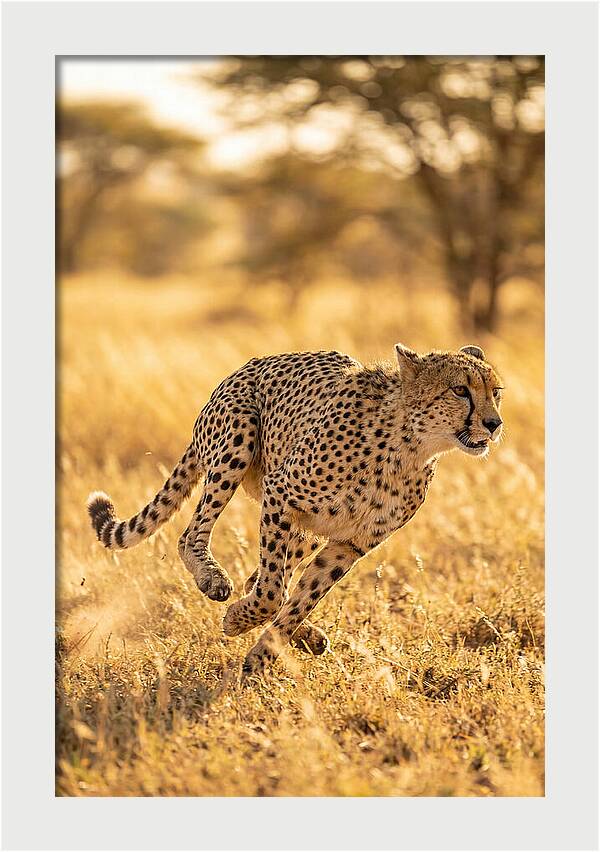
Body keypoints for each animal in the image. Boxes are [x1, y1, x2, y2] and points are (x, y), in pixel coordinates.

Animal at [87, 343, 504, 679]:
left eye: (495, 392)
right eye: (460, 390)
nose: (494, 423)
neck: (409, 446)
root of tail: (244, 367)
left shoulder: (350, 543)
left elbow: (301, 597)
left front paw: (262, 654)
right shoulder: (281, 494)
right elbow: (273, 592)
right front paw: (237, 622)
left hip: (308, 530)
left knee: (259, 577)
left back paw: (307, 637)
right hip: (238, 438)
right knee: (194, 537)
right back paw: (213, 579)